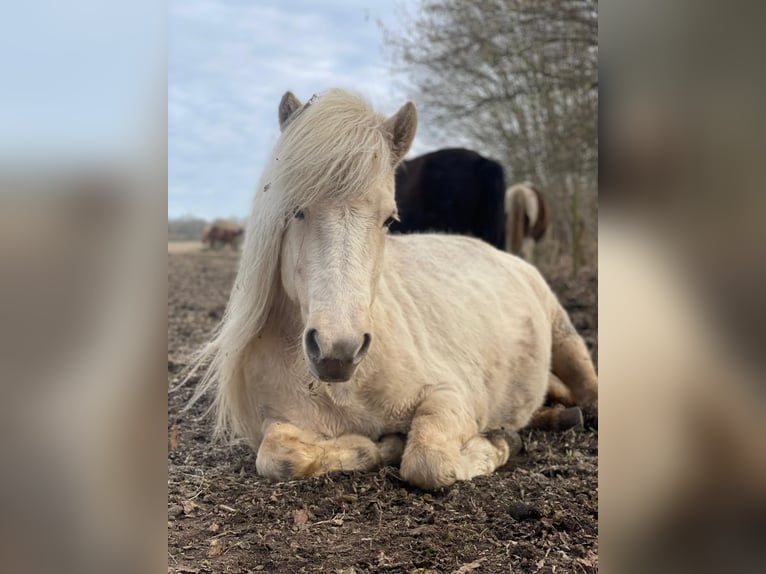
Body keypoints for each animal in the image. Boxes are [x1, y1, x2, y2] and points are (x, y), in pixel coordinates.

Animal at [189, 89, 598, 490]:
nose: (339, 350)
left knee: (589, 396)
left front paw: (498, 442)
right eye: (296, 211)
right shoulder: (278, 423)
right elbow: (279, 456)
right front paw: (377, 447)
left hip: (565, 337)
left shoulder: (451, 396)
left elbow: (427, 461)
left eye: (389, 219)